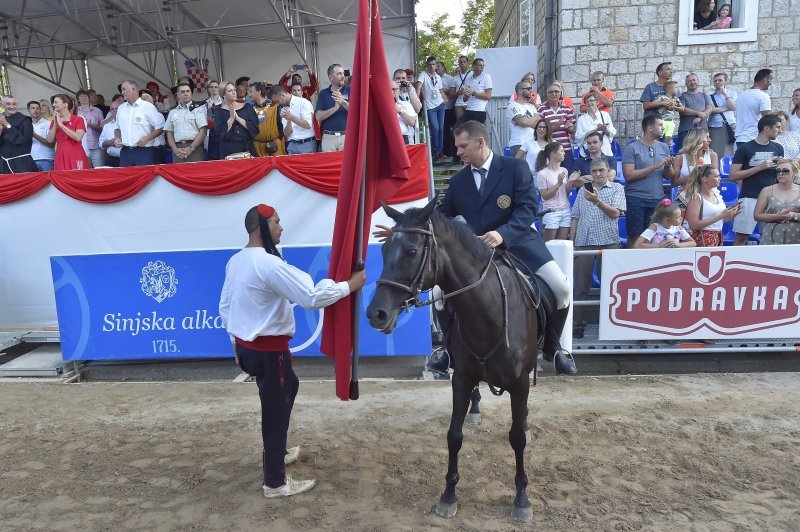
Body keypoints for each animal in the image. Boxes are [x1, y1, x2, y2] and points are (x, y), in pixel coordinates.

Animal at [366, 197, 540, 520]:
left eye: (411, 251)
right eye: (383, 251)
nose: (376, 314)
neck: (489, 313)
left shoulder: (520, 382)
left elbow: (517, 439)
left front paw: (522, 499)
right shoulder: (460, 378)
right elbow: (454, 436)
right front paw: (448, 495)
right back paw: (476, 409)